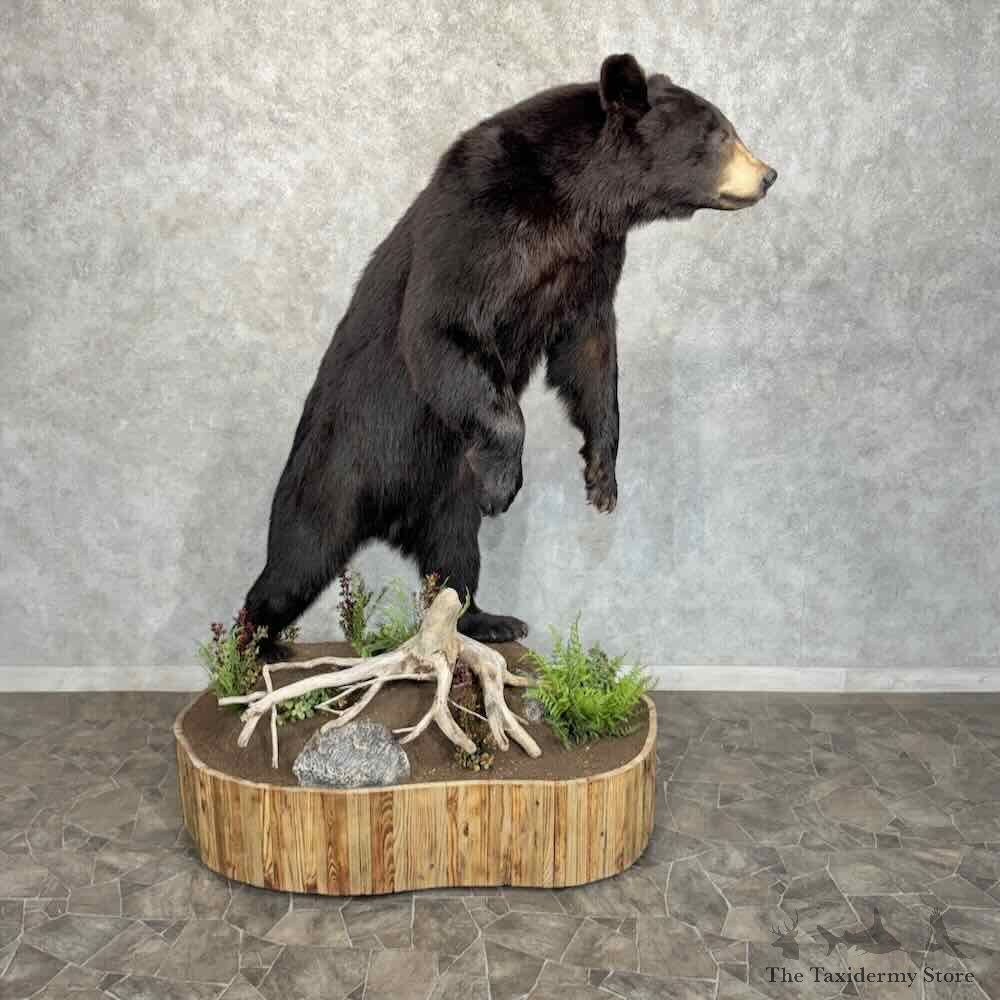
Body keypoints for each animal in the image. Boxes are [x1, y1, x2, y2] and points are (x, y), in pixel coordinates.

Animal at [245, 53, 776, 647]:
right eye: (721, 133)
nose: (768, 174)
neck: (578, 199)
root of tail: (390, 517)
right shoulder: (479, 217)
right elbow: (443, 325)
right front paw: (503, 484)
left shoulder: (590, 262)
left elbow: (589, 353)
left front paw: (602, 477)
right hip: (334, 472)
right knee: (297, 559)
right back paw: (253, 646)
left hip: (447, 496)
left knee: (454, 560)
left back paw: (487, 619)